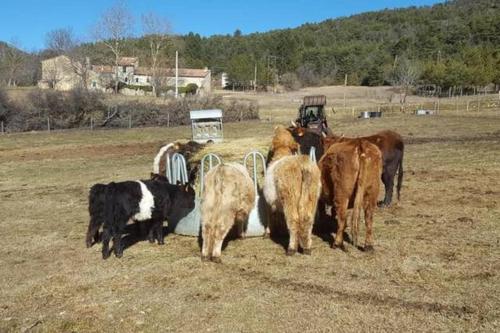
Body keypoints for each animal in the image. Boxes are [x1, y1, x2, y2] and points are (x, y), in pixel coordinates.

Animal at [264, 124, 322, 254]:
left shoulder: (269, 202)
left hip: (290, 198)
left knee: (293, 220)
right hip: (311, 196)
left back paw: (291, 248)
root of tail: (302, 163)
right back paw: (307, 247)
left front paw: (268, 232)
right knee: (308, 219)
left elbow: (270, 216)